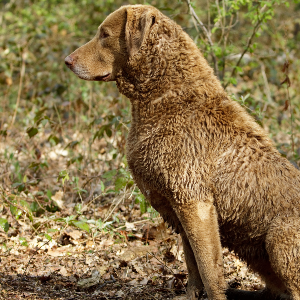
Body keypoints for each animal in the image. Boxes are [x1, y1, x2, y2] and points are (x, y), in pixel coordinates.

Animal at [65, 4, 300, 300]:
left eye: (104, 34)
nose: (67, 60)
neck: (165, 97)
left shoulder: (194, 201)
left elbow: (209, 269)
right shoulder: (178, 207)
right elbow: (192, 264)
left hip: (279, 237)